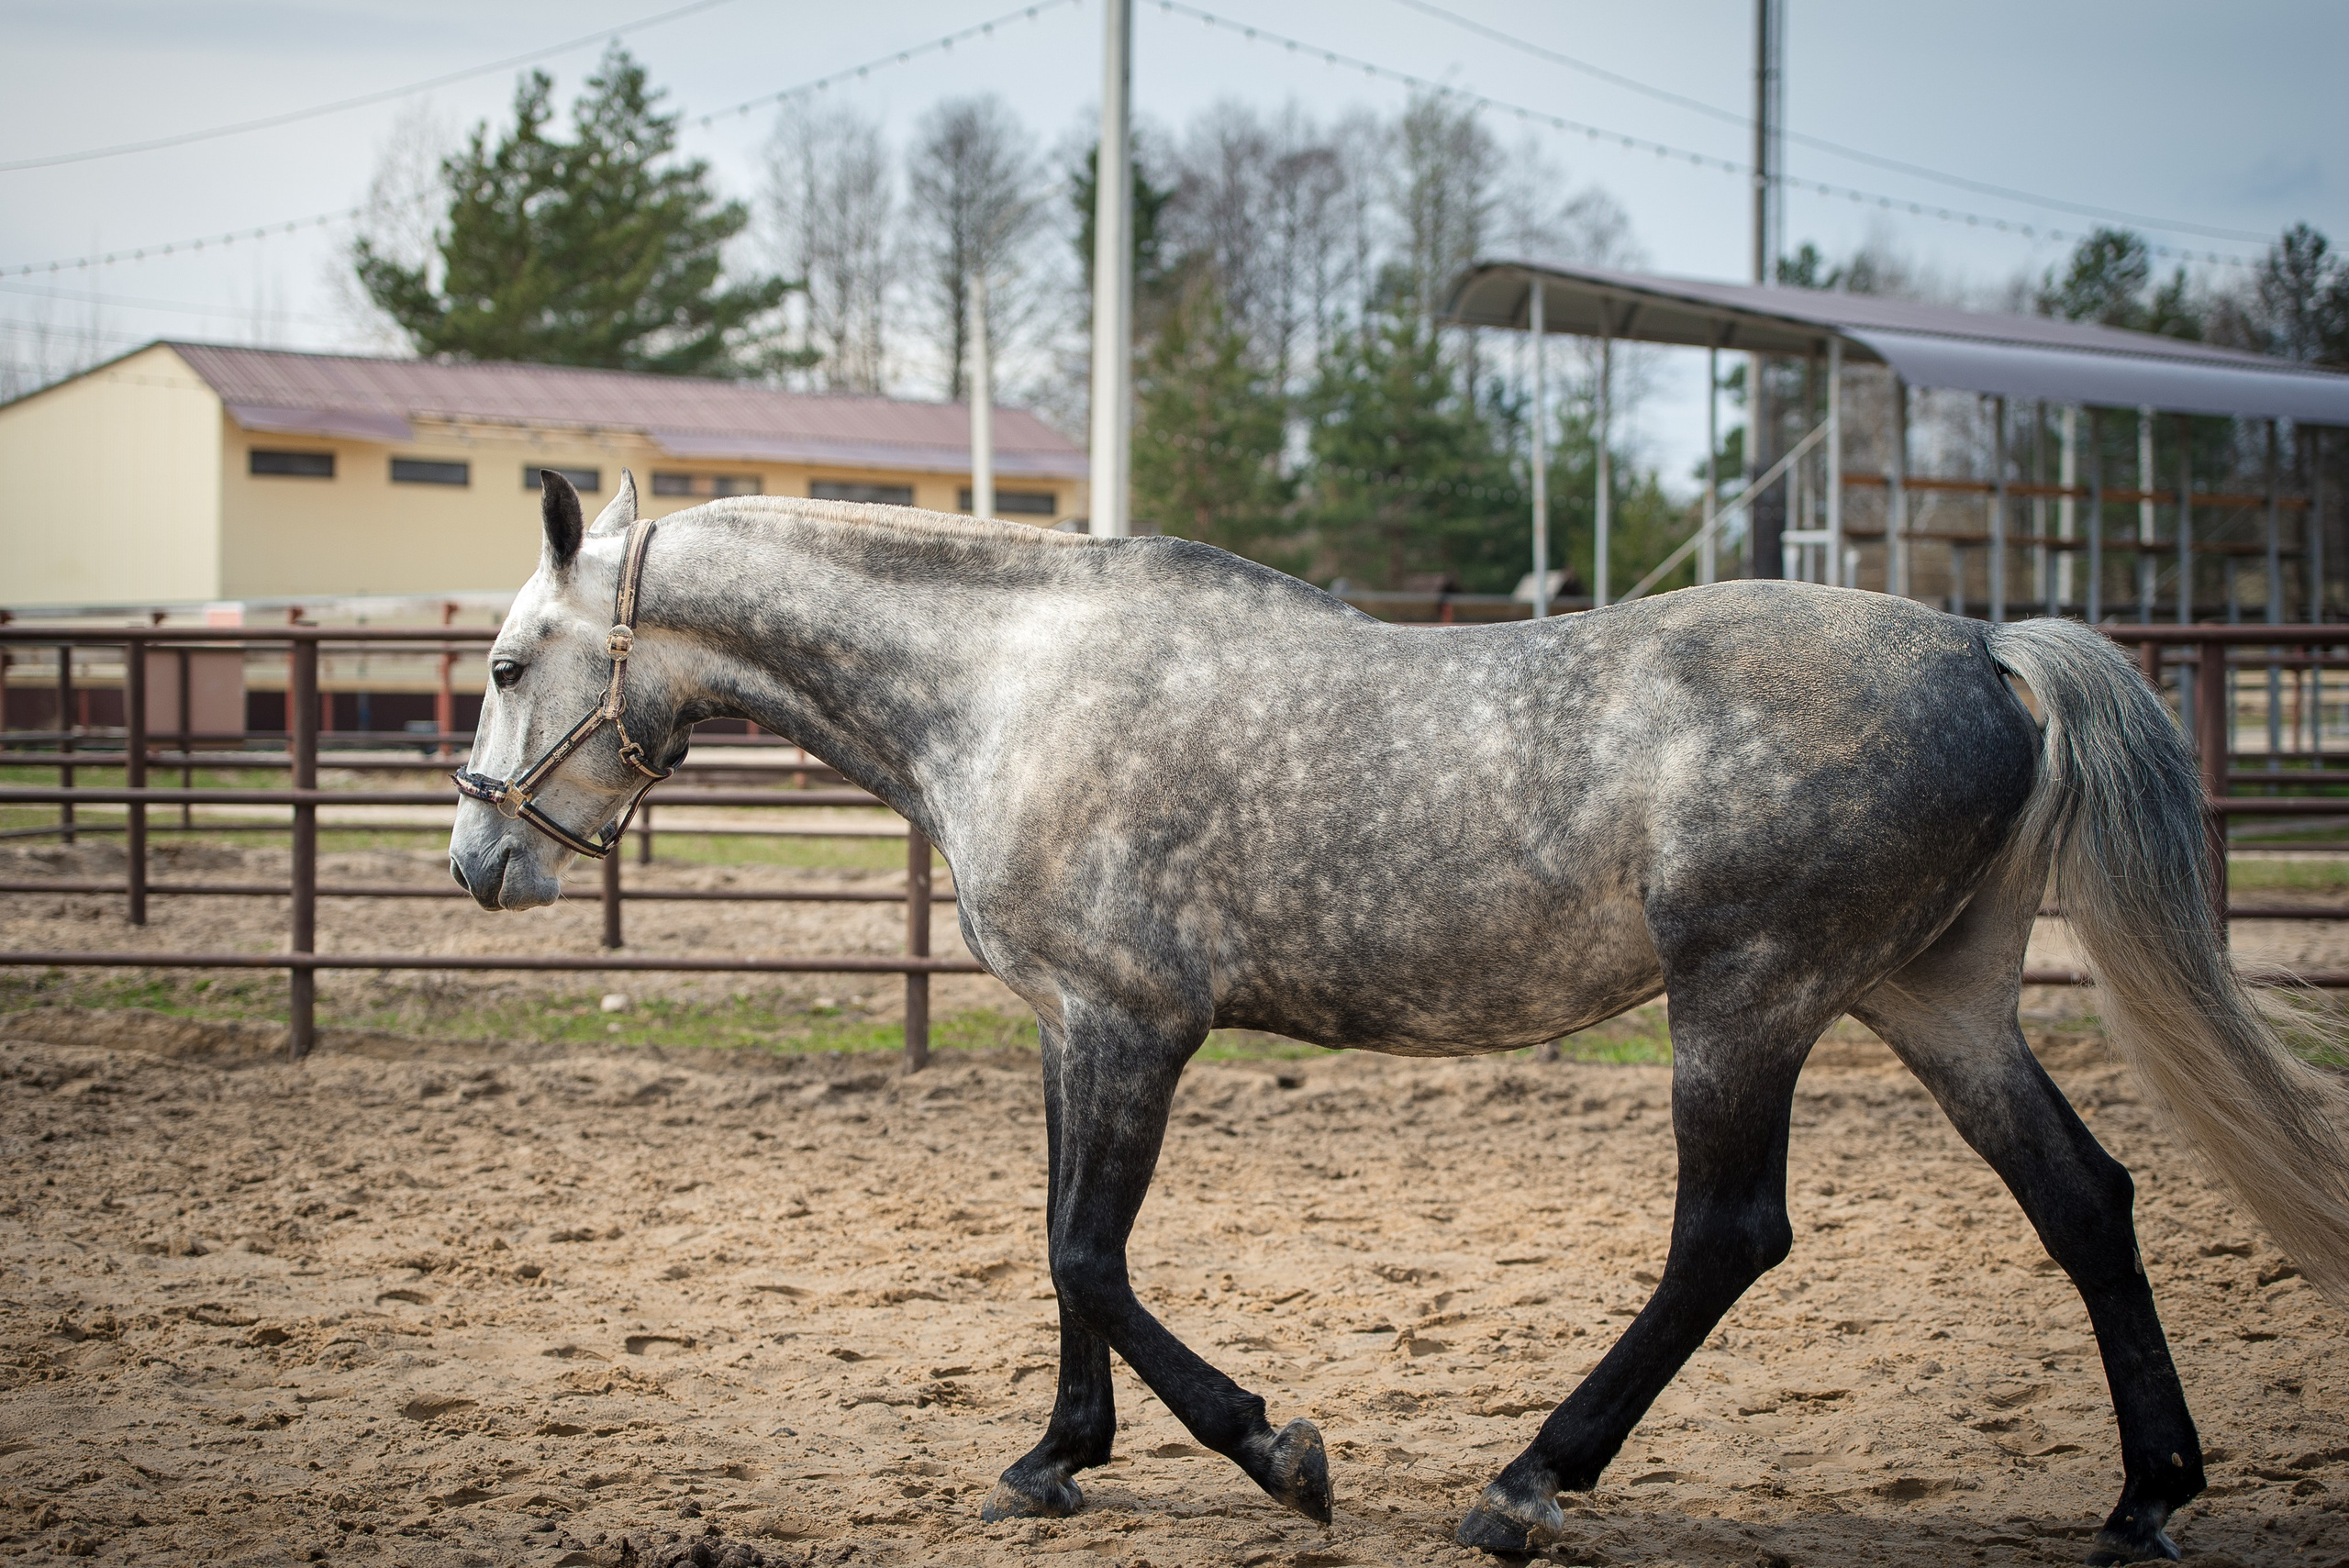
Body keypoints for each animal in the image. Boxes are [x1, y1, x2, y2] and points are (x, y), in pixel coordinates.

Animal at [448, 471, 2349, 1563]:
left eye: (508, 661)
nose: (476, 858)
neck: (1007, 689)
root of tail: (1995, 651)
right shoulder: (1072, 1021)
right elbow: (1061, 1243)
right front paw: (1055, 1458)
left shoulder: (1134, 1019)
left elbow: (1086, 1250)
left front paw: (1277, 1451)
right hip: (1931, 995)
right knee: (2088, 1200)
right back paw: (2147, 1494)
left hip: (1751, 995)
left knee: (1729, 1232)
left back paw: (1525, 1483)